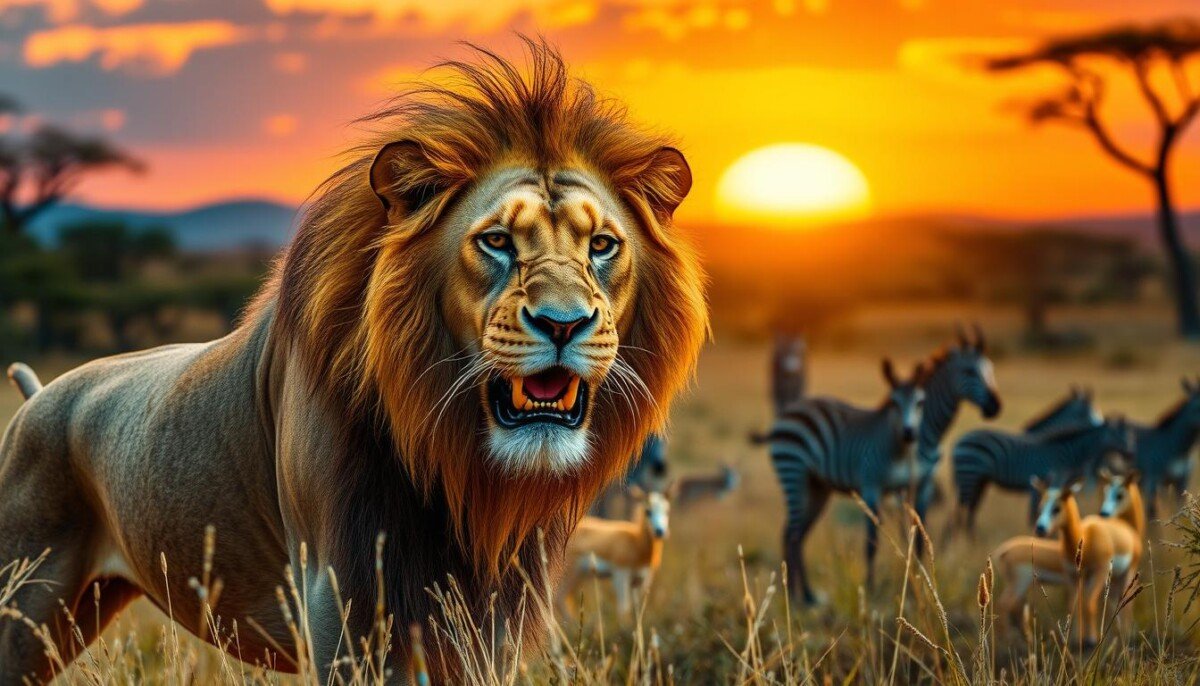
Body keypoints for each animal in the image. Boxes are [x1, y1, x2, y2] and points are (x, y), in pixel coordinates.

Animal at [0, 39, 707, 682]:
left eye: (604, 245)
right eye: (497, 241)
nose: (564, 323)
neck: (454, 469)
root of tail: (39, 395)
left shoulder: (492, 615)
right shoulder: (338, 599)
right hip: (23, 600)